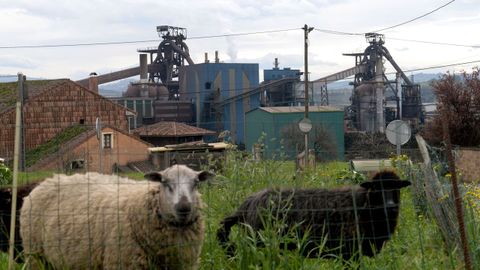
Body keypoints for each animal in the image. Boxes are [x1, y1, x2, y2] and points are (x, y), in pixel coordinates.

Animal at [218, 171, 408, 260]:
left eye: (396, 187)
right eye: (376, 188)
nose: (390, 206)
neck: (363, 205)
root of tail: (246, 205)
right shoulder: (349, 251)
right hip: (259, 242)